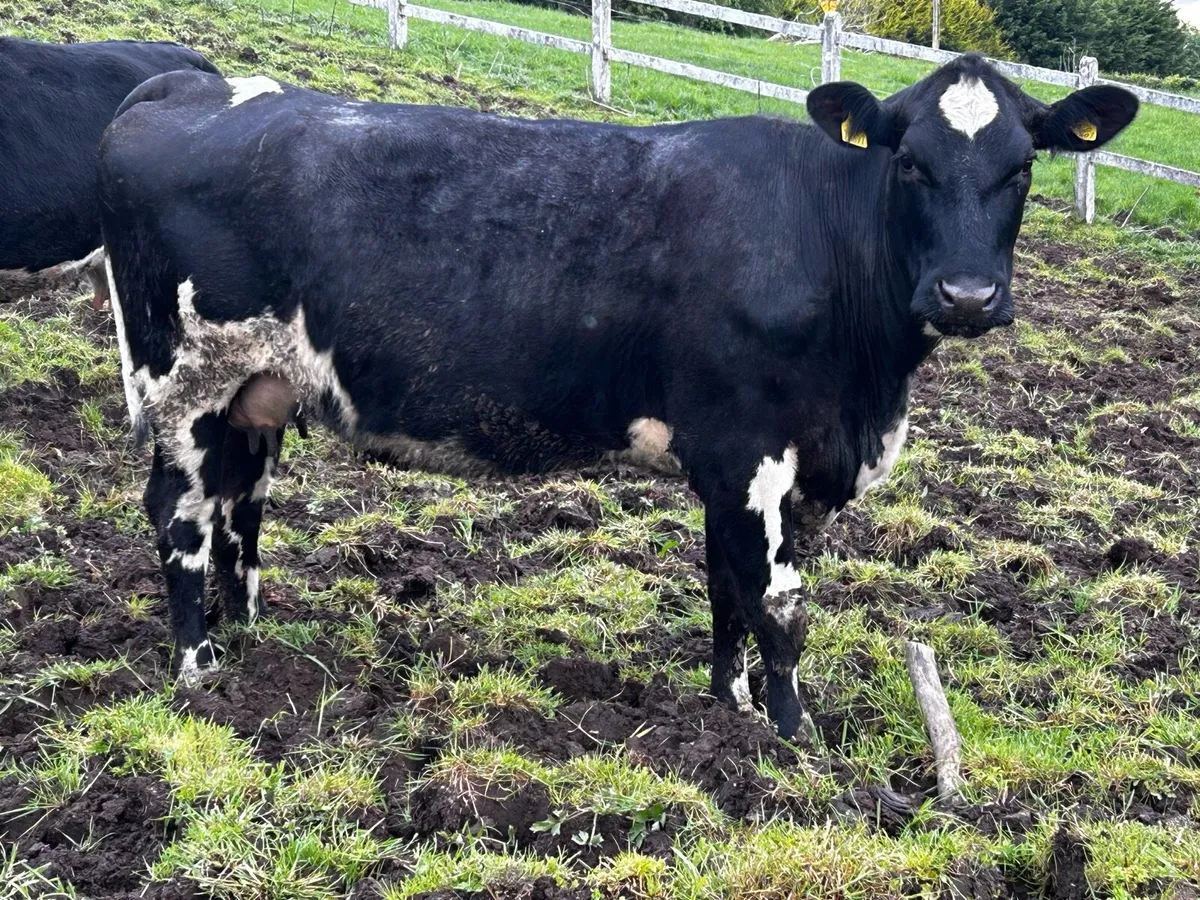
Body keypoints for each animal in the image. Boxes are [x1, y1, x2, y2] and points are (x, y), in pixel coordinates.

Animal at [97, 59, 1137, 738]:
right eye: (910, 161)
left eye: (1023, 167)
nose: (967, 296)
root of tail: (184, 87)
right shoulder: (751, 448)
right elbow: (780, 603)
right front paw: (796, 740)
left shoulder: (765, 464)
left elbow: (730, 591)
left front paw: (732, 707)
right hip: (184, 382)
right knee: (181, 516)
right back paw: (198, 670)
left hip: (255, 392)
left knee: (240, 508)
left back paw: (251, 637)